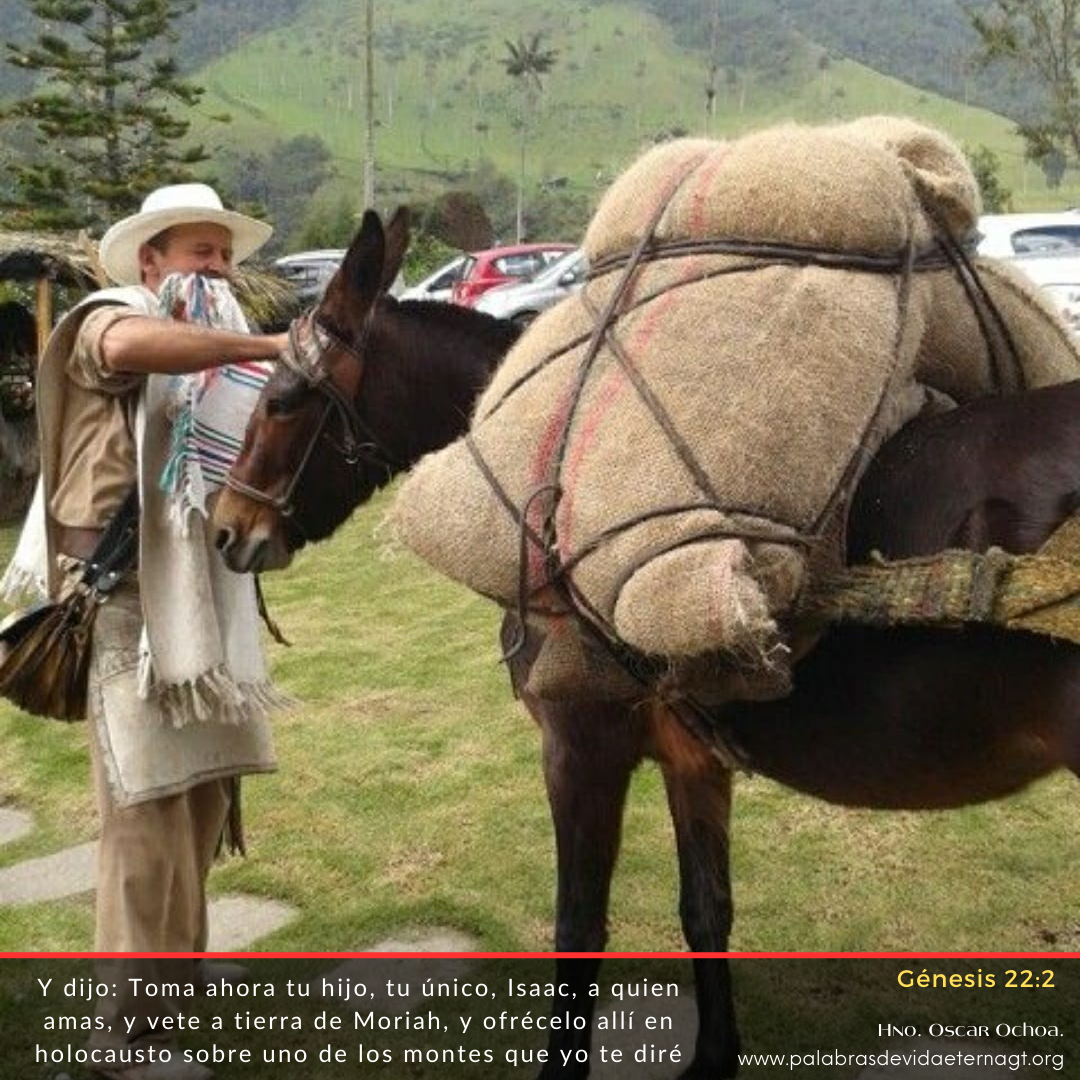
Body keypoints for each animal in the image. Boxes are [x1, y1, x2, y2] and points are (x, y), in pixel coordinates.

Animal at [213, 209, 1080, 1079]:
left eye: (281, 400)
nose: (225, 528)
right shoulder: (689, 755)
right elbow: (706, 910)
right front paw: (713, 1057)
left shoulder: (580, 746)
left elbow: (578, 934)